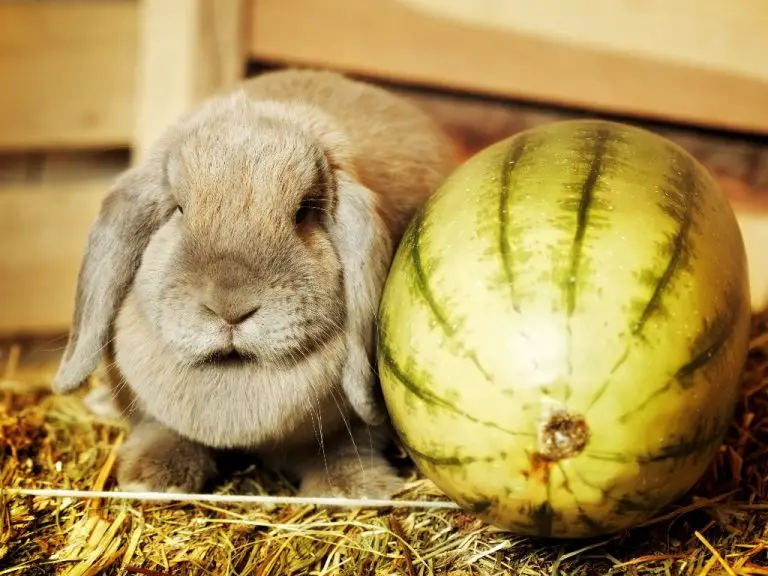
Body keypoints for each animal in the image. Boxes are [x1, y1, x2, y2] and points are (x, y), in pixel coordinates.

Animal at [51, 70, 460, 498]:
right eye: (179, 209)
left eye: (304, 212)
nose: (230, 308)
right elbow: (161, 428)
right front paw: (151, 477)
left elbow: (350, 444)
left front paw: (349, 489)